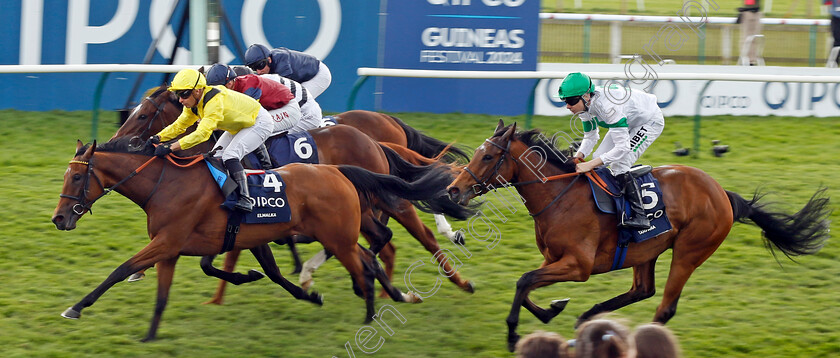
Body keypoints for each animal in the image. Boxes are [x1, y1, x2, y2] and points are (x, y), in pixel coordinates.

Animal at [52, 138, 472, 342]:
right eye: (66, 175)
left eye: (78, 177)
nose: (59, 218)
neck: (166, 184)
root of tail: (338, 170)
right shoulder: (179, 247)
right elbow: (169, 291)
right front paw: (151, 335)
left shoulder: (168, 242)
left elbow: (120, 269)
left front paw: (75, 307)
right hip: (339, 234)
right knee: (370, 258)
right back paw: (391, 297)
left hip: (340, 235)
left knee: (372, 258)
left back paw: (377, 307)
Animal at [109, 86, 476, 300]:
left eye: (144, 114)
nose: (117, 143)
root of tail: (377, 138)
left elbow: (225, 255)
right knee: (382, 239)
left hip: (387, 200)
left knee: (418, 235)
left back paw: (456, 278)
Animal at [442, 120, 832, 352]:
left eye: (488, 157)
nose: (453, 189)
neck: (559, 195)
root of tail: (724, 194)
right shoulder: (553, 258)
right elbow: (526, 286)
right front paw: (553, 309)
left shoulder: (578, 266)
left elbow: (523, 281)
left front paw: (513, 335)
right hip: (646, 251)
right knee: (642, 290)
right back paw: (591, 319)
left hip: (690, 250)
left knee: (664, 306)